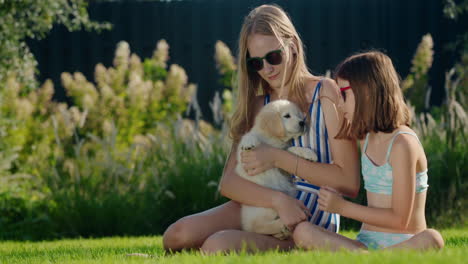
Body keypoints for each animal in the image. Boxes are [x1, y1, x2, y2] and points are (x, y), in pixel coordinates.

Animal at [236, 99, 316, 239]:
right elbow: (248, 136)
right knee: (256, 226)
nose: (302, 123)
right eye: (287, 116)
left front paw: (308, 153)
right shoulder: (243, 163)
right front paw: (249, 142)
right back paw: (281, 225)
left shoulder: (283, 165)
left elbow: (290, 150)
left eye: (299, 115)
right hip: (266, 206)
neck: (273, 139)